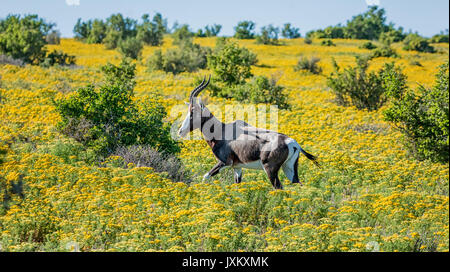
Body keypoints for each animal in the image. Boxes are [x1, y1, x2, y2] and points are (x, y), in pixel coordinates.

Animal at [178, 75, 318, 189]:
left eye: (192, 112)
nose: (180, 131)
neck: (222, 131)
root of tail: (293, 144)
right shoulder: (237, 167)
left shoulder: (224, 163)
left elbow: (205, 177)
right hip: (289, 168)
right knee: (298, 184)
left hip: (270, 169)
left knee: (278, 187)